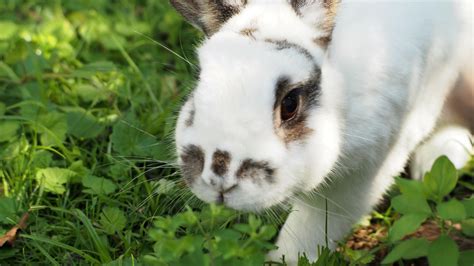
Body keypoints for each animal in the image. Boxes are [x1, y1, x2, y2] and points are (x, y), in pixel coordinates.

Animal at [169, 0, 470, 262]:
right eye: (199, 81)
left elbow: (311, 226)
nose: (218, 179)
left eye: (290, 103)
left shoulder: (367, 170)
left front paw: (282, 260)